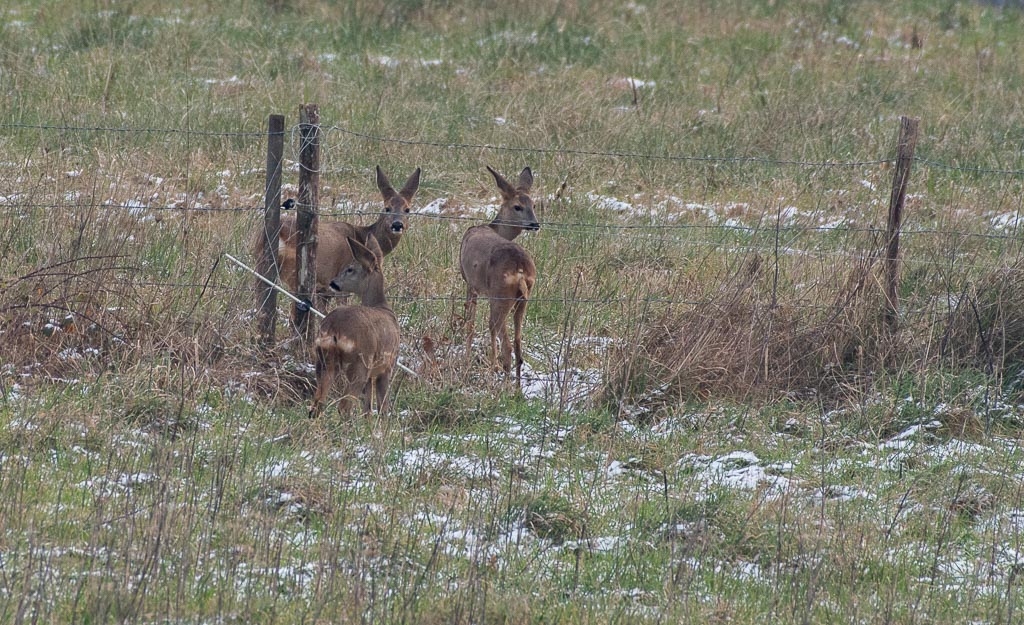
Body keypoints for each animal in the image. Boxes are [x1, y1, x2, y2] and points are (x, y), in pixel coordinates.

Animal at [258, 163, 421, 301]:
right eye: (387, 208)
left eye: (407, 209)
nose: (397, 225)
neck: (361, 235)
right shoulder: (341, 286)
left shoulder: (324, 291)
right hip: (295, 273)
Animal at [307, 232, 399, 413]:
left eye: (350, 269)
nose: (333, 283)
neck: (382, 307)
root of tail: (333, 328)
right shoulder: (387, 366)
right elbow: (382, 407)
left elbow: (367, 408)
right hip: (360, 362)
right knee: (344, 406)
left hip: (323, 359)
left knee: (318, 402)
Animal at [460, 163, 540, 385]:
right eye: (518, 206)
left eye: (534, 206)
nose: (535, 224)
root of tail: (520, 269)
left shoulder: (471, 283)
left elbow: (470, 323)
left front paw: (466, 361)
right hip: (523, 298)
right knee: (518, 344)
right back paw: (516, 388)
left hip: (500, 294)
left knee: (503, 341)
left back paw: (495, 378)